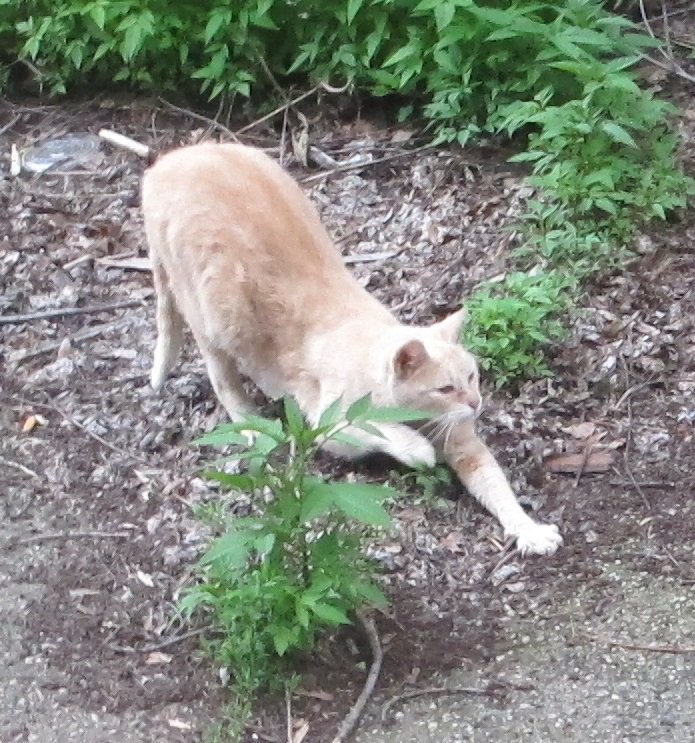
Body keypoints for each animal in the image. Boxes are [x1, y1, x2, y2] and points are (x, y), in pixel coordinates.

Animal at [143, 141, 564, 560]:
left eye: (473, 376)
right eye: (446, 388)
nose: (476, 404)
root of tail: (171, 159)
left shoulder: (462, 443)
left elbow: (494, 483)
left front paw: (528, 529)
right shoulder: (325, 422)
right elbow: (378, 428)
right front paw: (418, 450)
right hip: (209, 318)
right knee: (223, 379)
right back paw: (250, 423)